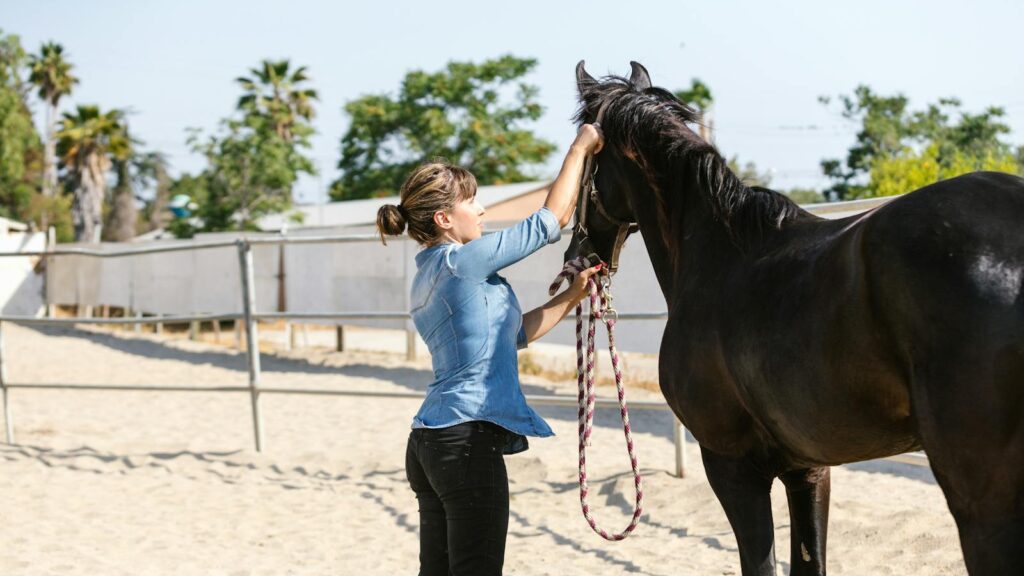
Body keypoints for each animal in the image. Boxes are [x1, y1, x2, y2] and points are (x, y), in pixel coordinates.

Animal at [566, 61, 1024, 575]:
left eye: (581, 155)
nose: (576, 254)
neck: (718, 256)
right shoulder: (807, 468)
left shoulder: (730, 464)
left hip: (985, 501)